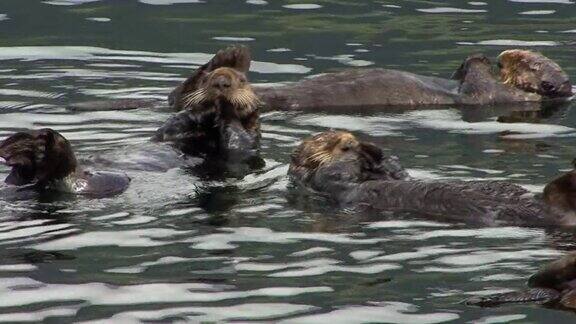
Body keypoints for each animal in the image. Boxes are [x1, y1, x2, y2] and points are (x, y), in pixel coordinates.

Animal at [290, 130, 576, 227]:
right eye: (324, 142)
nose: (350, 142)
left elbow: (398, 172)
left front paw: (377, 153)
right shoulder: (323, 181)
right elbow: (334, 172)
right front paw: (363, 152)